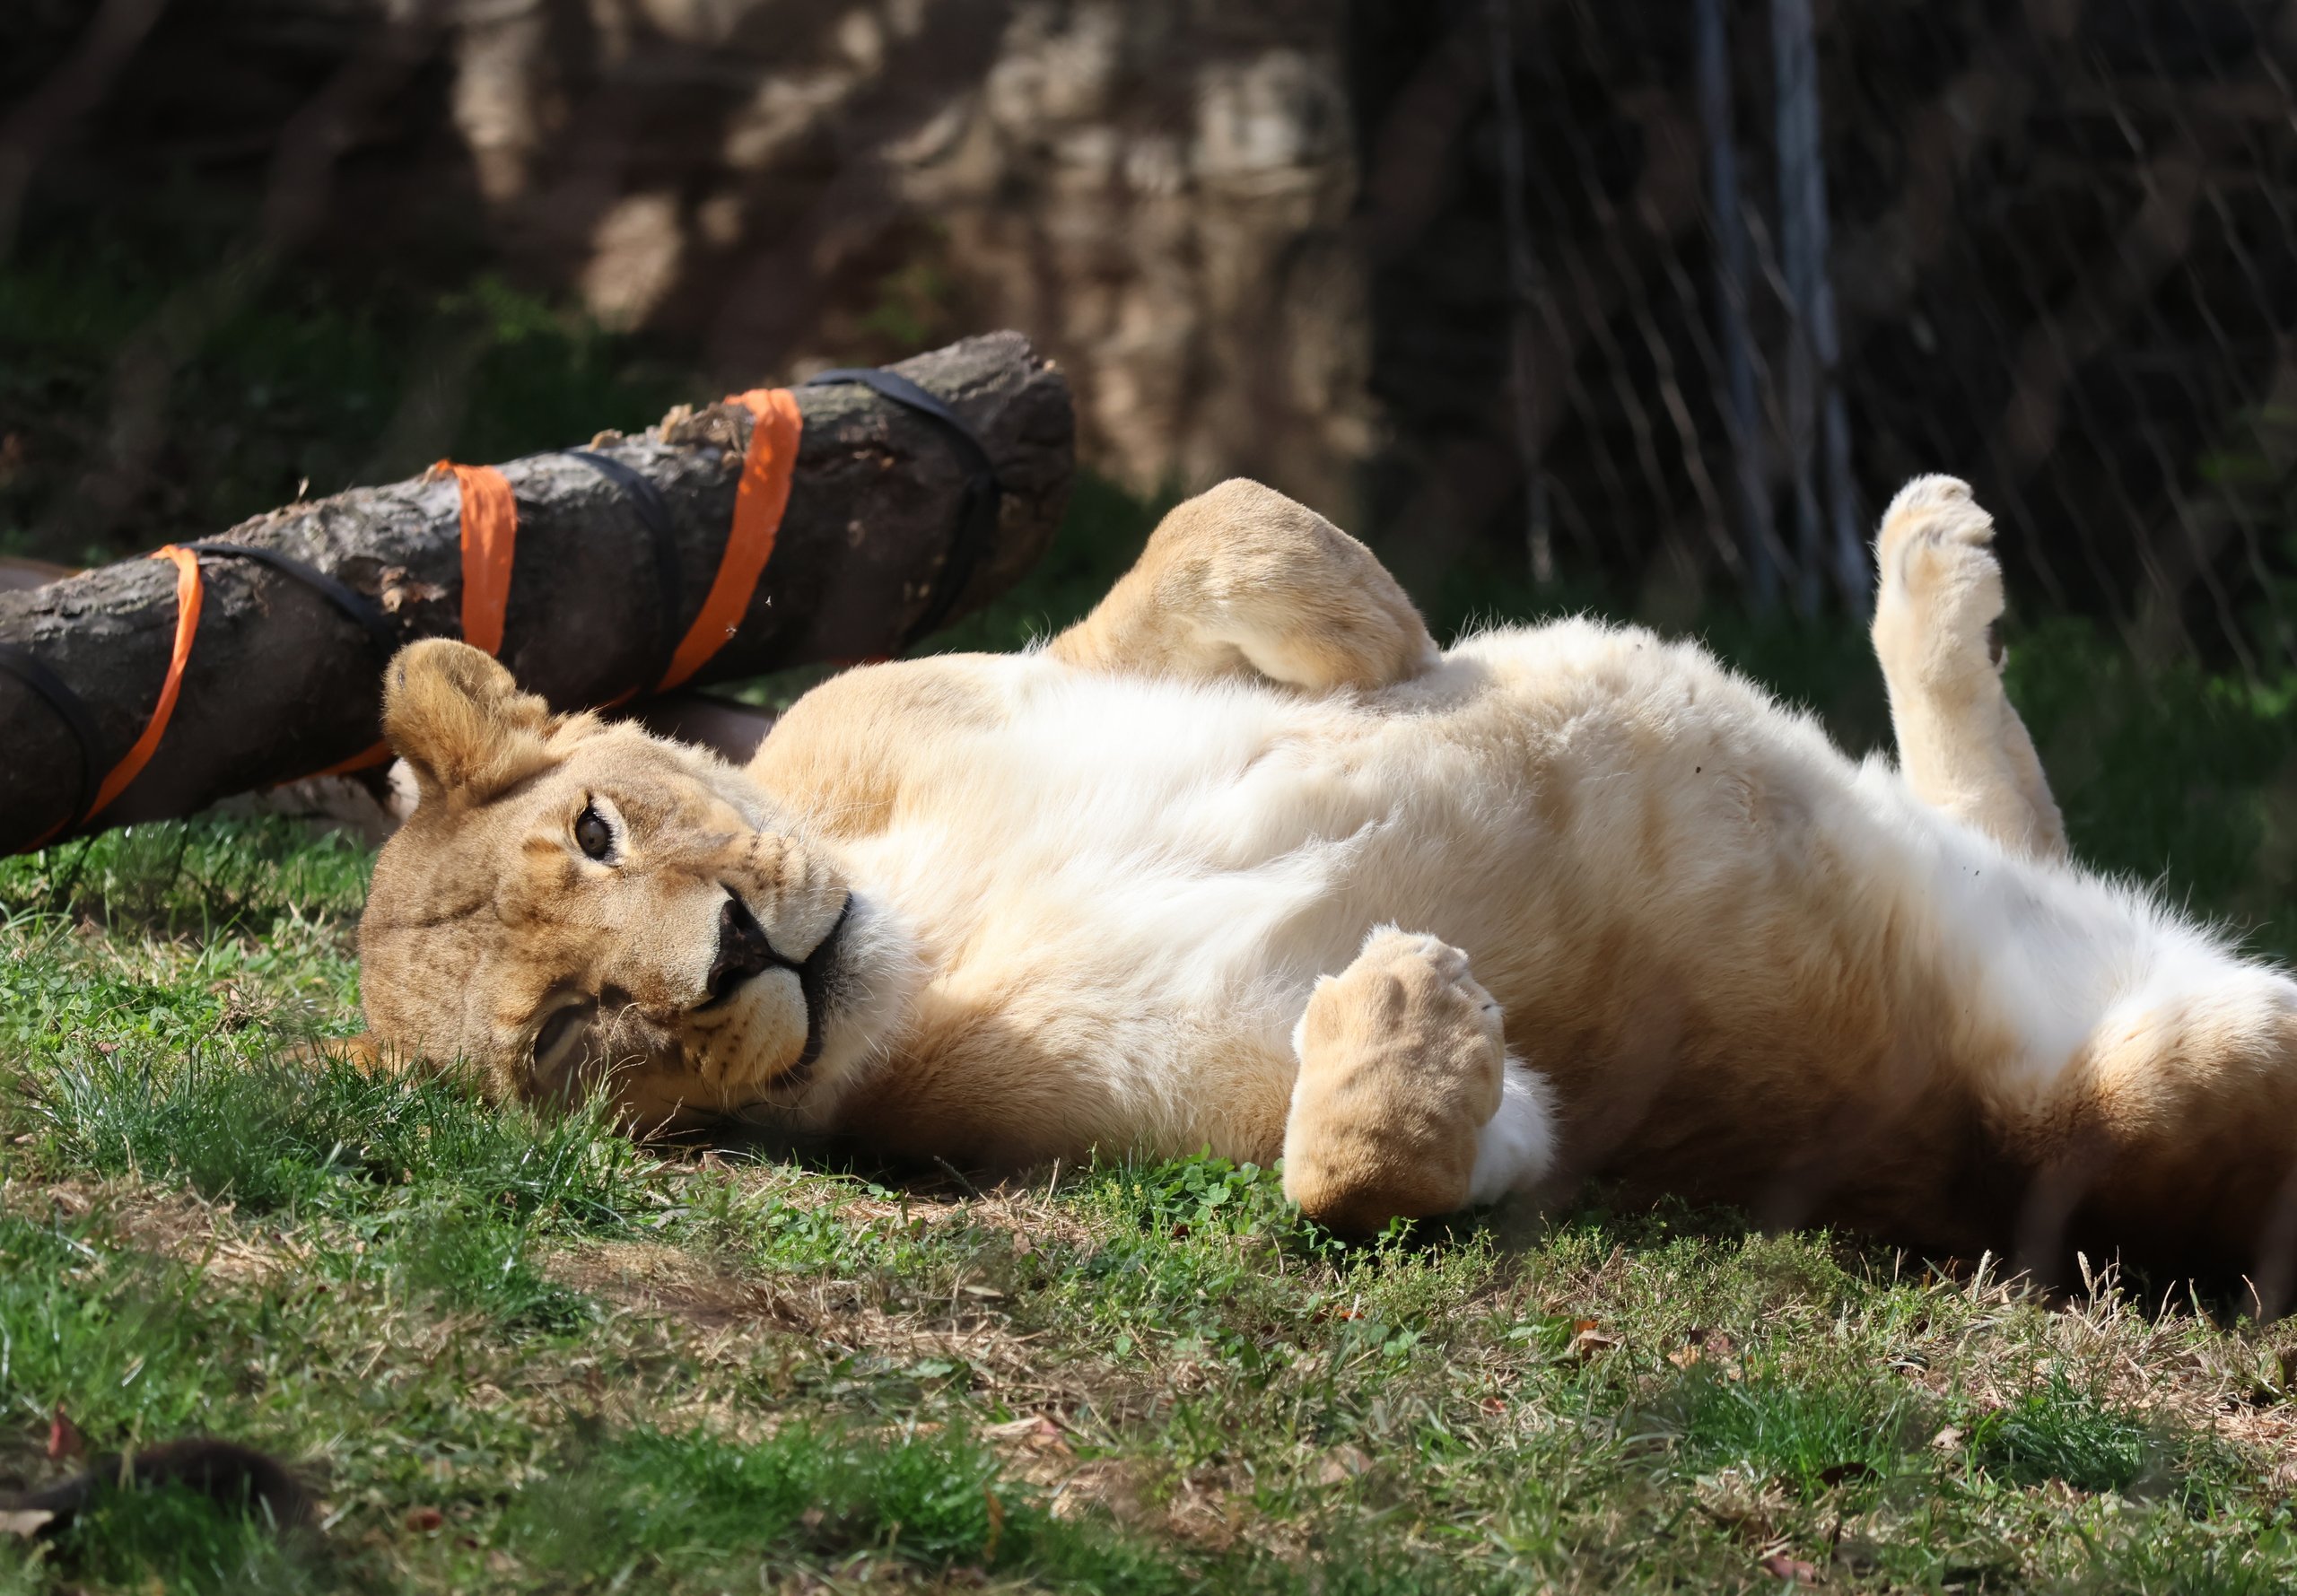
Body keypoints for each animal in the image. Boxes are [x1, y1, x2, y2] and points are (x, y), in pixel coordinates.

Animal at [353, 475, 2297, 1287]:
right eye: (571, 1033)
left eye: (597, 830)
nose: (736, 953)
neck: (937, 917)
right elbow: (1367, 1170)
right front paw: (1405, 1020)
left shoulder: (950, 685)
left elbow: (1207, 523)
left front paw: (1396, 639)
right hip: (2148, 1086)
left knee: (2001, 814)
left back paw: (1927, 551)